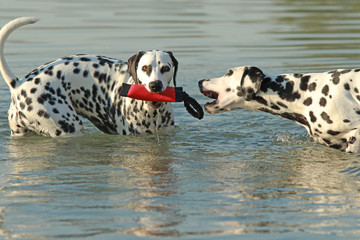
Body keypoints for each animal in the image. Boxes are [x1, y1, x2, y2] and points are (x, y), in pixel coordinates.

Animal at [0, 16, 179, 137]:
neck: (152, 112)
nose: (155, 85)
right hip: (70, 127)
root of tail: (18, 84)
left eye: (166, 68)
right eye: (145, 67)